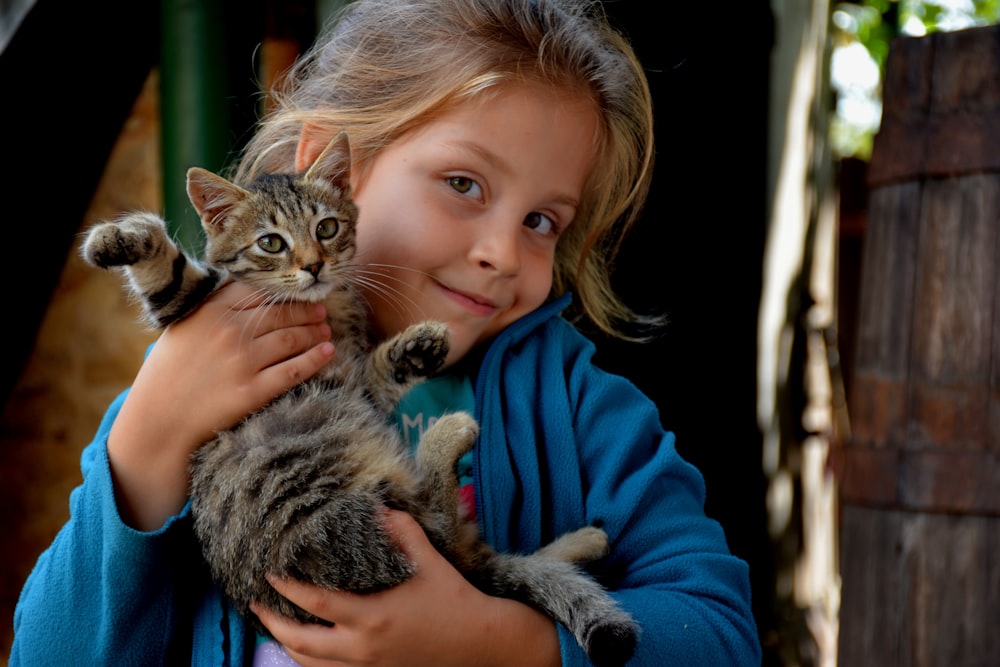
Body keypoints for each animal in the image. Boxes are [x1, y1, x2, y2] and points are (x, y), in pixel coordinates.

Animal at [80, 132, 640, 667]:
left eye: (327, 228)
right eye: (270, 243)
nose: (313, 266)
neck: (321, 305)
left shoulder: (356, 379)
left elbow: (378, 372)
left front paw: (419, 348)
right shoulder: (190, 307)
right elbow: (170, 274)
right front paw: (118, 237)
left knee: (466, 553)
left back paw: (579, 538)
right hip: (337, 515)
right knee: (446, 533)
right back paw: (452, 440)